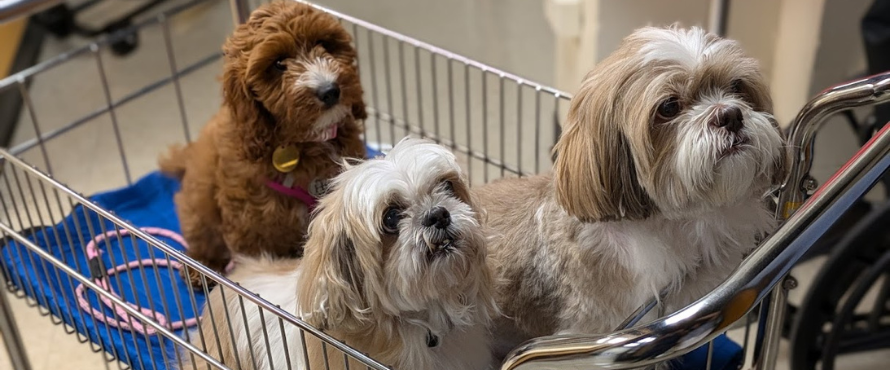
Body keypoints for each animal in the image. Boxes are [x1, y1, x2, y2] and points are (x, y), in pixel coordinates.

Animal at [159, 0, 364, 286]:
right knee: (202, 232)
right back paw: (200, 266)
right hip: (198, 199)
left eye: (324, 43)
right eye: (278, 63)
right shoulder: (251, 223)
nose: (330, 90)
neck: (305, 142)